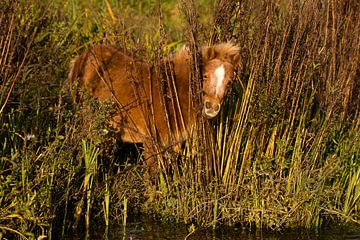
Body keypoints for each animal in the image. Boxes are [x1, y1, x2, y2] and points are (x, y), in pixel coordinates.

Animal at [69, 42, 240, 174]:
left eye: (230, 82)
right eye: (204, 75)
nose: (211, 107)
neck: (173, 92)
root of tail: (82, 56)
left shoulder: (173, 144)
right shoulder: (151, 142)